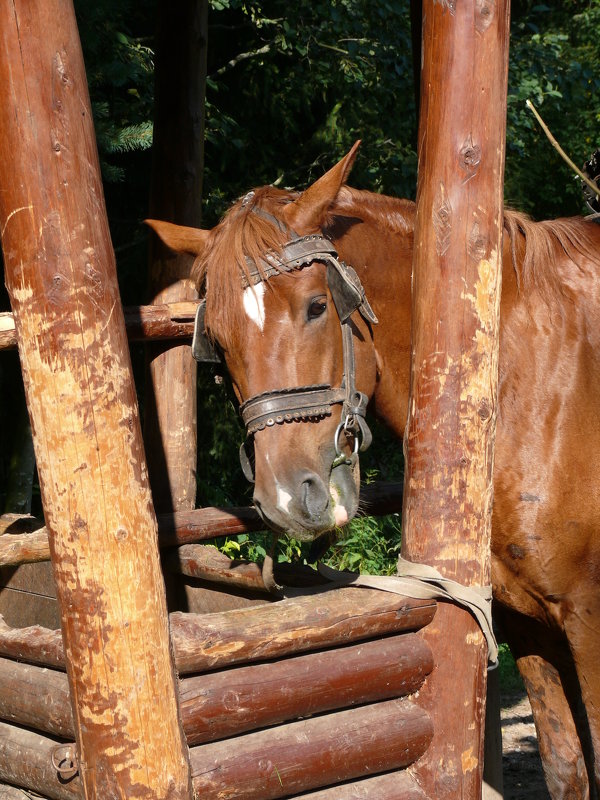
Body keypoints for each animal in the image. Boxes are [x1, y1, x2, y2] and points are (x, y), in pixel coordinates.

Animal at [148, 145, 600, 800]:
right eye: (219, 344)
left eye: (317, 307)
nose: (289, 498)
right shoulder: (532, 625)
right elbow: (567, 770)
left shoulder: (588, 624)